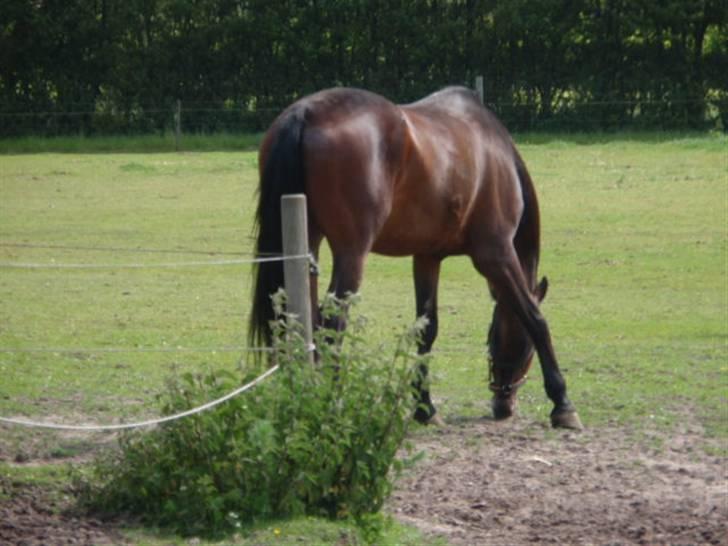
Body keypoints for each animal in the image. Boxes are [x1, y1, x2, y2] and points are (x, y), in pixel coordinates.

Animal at [247, 85, 584, 428]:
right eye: (524, 348)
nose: (503, 405)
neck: (494, 153)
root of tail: (307, 112)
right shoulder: (496, 254)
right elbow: (534, 318)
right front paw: (562, 403)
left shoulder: (427, 257)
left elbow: (427, 329)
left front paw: (425, 407)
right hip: (351, 253)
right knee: (332, 322)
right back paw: (332, 401)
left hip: (306, 245)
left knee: (301, 319)